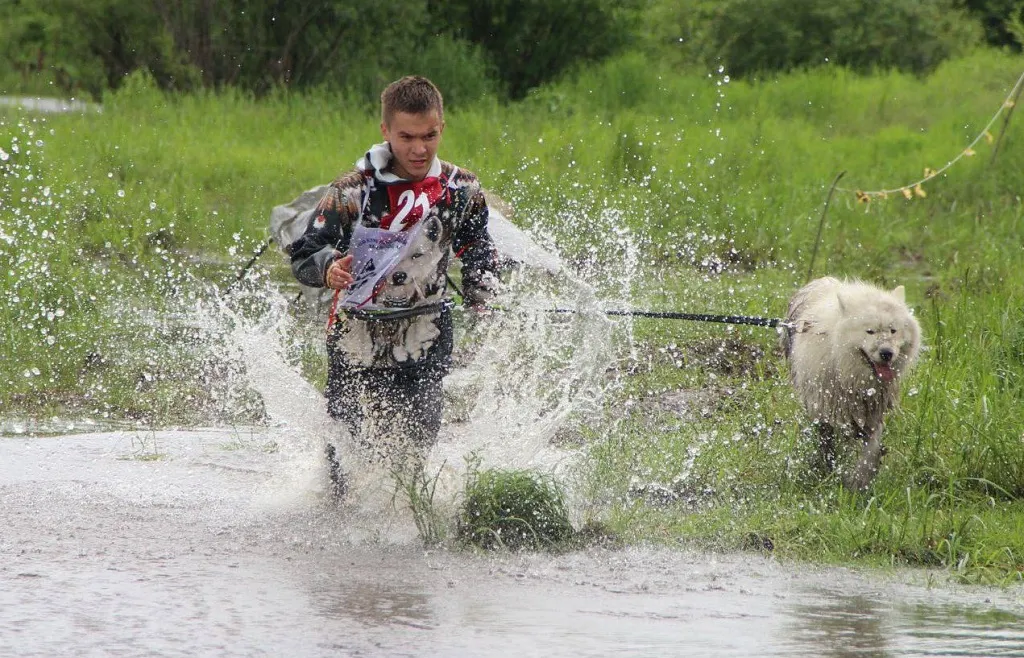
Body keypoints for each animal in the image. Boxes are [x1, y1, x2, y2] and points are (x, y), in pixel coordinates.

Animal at [778, 276, 925, 489]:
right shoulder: (826, 408)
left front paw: (859, 482)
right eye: (870, 331)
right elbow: (827, 446)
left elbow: (870, 452)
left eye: (893, 330)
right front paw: (829, 474)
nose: (887, 353)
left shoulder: (872, 413)